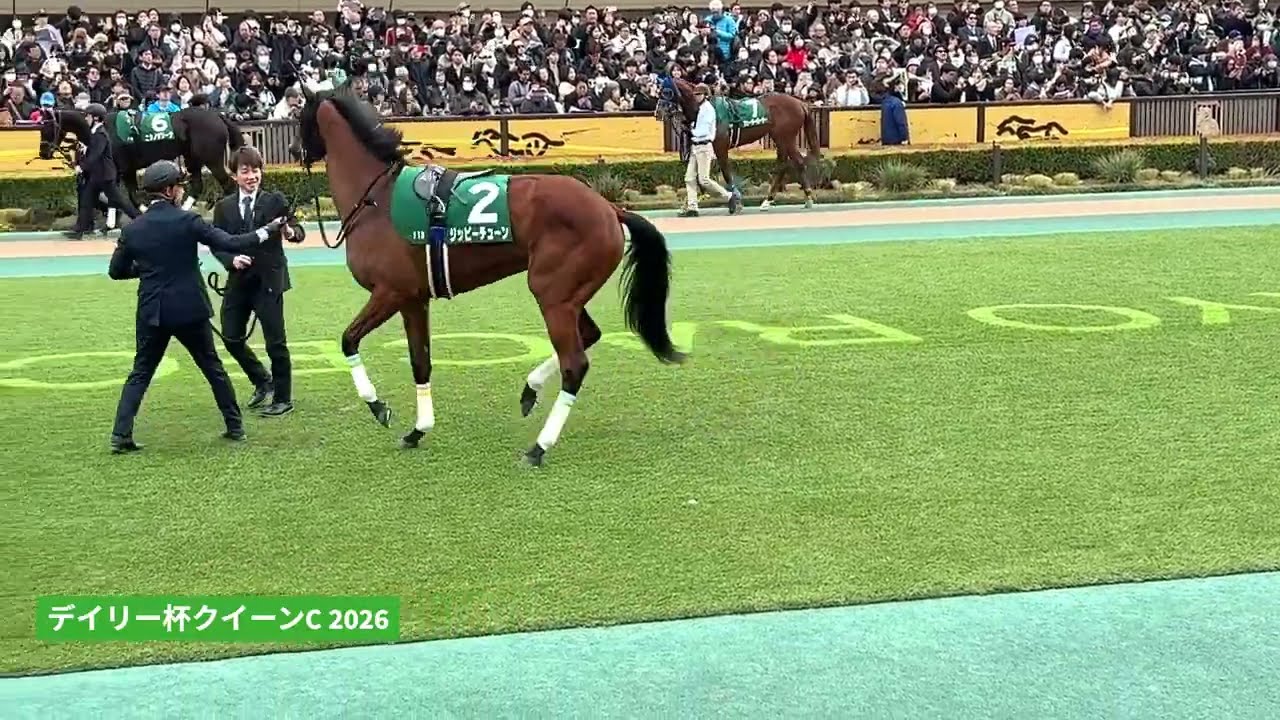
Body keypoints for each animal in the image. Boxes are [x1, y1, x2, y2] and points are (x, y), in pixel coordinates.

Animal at [38, 105, 242, 212]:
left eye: (46, 128)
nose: (43, 153)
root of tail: (218, 116)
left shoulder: (121, 168)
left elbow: (124, 196)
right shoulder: (125, 170)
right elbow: (123, 195)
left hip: (211, 159)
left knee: (228, 185)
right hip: (192, 158)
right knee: (198, 185)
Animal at [292, 83, 685, 467]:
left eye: (299, 117)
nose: (295, 150)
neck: (378, 201)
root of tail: (609, 207)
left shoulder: (389, 293)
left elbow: (348, 340)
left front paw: (377, 406)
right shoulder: (414, 300)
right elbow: (421, 361)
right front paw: (418, 430)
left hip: (552, 295)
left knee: (575, 364)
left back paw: (539, 447)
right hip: (567, 295)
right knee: (589, 335)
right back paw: (530, 391)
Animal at [655, 75, 822, 211]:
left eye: (667, 92)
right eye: (659, 91)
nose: (658, 112)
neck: (706, 108)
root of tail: (800, 103)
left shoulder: (720, 146)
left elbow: (725, 173)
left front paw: (735, 200)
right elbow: (697, 176)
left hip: (785, 137)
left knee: (797, 162)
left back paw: (807, 198)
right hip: (780, 138)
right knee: (784, 164)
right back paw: (768, 200)